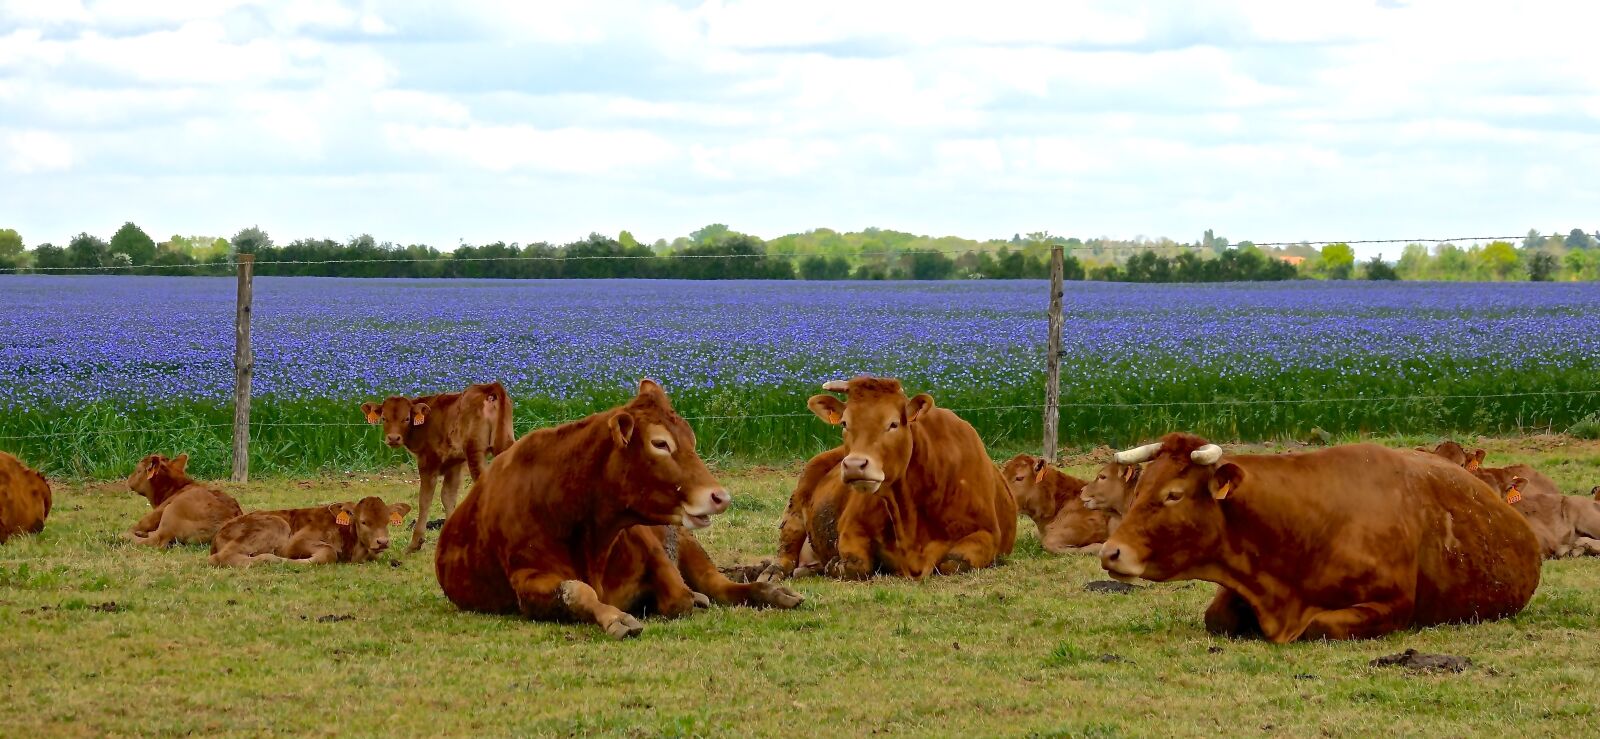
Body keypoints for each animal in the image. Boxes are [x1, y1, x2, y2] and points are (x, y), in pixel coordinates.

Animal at [210, 497, 412, 566]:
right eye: (363, 521)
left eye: (387, 521)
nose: (382, 541)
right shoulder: (294, 544)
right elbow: (329, 552)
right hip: (277, 524)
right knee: (221, 557)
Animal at [362, 381, 516, 553]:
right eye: (384, 418)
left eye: (407, 418)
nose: (393, 438)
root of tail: (489, 387)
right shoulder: (455, 464)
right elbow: (448, 497)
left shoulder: (428, 462)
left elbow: (425, 500)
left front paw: (415, 543)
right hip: (505, 443)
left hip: (475, 452)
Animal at [435, 379, 802, 639]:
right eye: (660, 443)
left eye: (691, 439)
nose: (720, 496)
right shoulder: (527, 580)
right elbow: (577, 590)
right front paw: (617, 618)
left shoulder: (650, 545)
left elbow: (681, 596)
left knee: (721, 584)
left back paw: (773, 591)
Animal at [760, 376, 1016, 581]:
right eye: (844, 423)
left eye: (893, 424)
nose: (854, 465)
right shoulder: (851, 527)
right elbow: (857, 564)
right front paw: (834, 564)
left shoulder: (988, 533)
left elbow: (953, 561)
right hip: (798, 499)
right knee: (786, 548)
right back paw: (773, 572)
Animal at [1099, 433, 1540, 642]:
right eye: (1140, 488)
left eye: (1173, 494)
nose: (1111, 552)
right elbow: (1217, 617)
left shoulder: (1393, 605)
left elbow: (1317, 626)